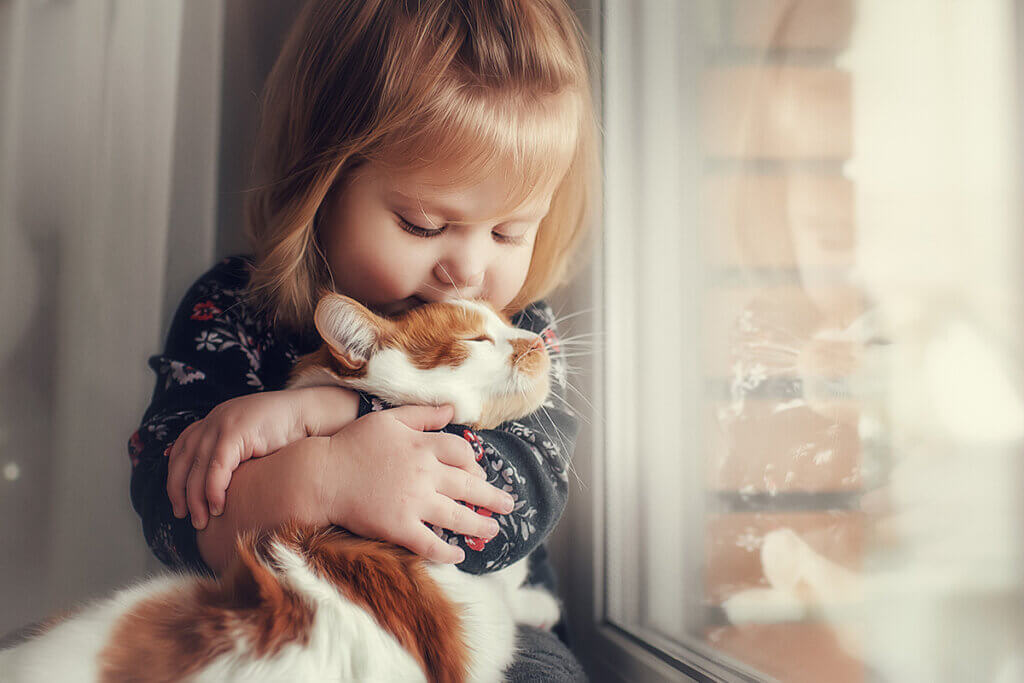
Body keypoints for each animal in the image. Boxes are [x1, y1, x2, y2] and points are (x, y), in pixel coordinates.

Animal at [0, 294, 561, 683]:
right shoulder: (486, 612)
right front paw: (545, 607)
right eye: (477, 340)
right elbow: (512, 597)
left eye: (508, 325)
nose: (538, 342)